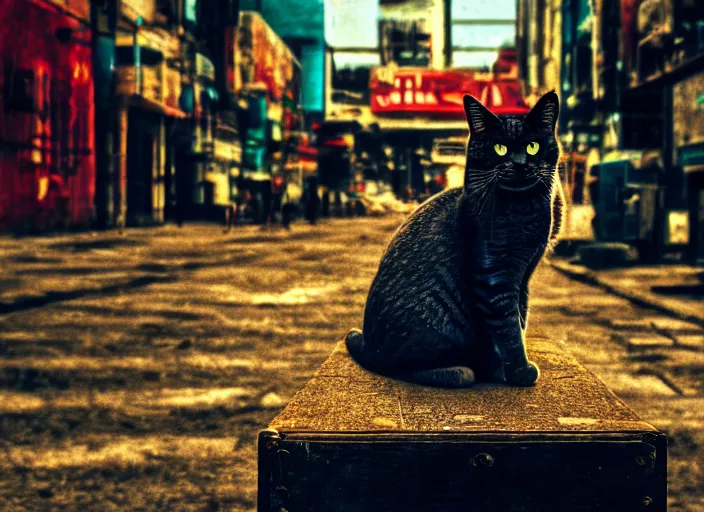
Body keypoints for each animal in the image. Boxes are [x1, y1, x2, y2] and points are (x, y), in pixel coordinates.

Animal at [344, 91, 564, 388]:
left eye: (532, 147)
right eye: (499, 148)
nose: (519, 163)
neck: (523, 209)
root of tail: (368, 348)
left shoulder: (523, 277)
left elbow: (519, 318)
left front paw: (501, 372)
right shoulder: (493, 277)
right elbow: (508, 329)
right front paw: (520, 372)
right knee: (401, 368)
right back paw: (457, 371)